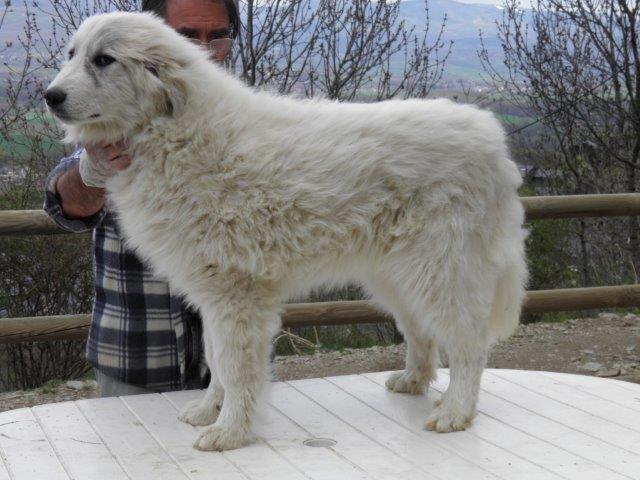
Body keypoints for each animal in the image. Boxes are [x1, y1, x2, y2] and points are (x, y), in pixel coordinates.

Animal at [43, 12, 524, 454]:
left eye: (103, 60)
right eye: (71, 55)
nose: (50, 96)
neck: (171, 132)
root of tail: (492, 137)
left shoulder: (237, 294)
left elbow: (234, 368)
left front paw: (229, 431)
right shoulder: (213, 295)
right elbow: (216, 361)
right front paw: (208, 411)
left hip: (440, 270)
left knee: (468, 342)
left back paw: (456, 411)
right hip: (397, 276)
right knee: (421, 331)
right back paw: (412, 380)